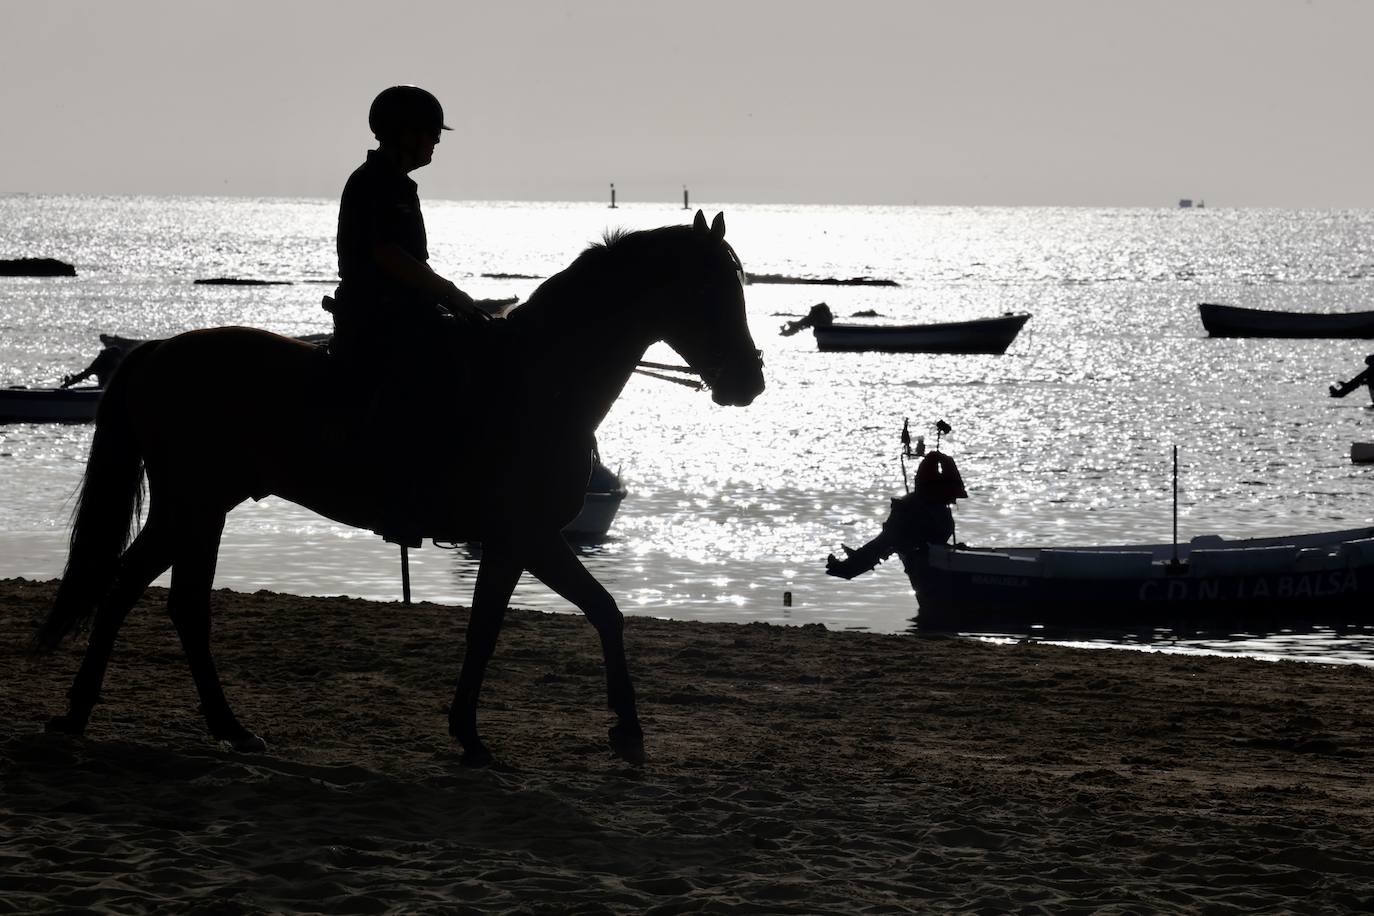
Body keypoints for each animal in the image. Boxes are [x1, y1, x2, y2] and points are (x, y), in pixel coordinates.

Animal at [31, 210, 764, 766]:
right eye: (709, 291)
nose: (749, 381)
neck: (539, 384)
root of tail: (155, 352)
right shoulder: (526, 537)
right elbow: (576, 616)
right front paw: (612, 730)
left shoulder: (515, 543)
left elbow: (511, 624)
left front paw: (478, 733)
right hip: (193, 504)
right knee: (146, 593)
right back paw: (111, 713)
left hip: (200, 508)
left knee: (159, 598)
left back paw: (189, 723)